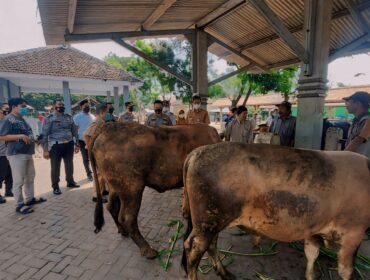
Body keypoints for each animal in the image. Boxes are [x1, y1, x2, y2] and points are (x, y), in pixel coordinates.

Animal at [91, 122, 221, 258]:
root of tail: (107, 129)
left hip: (115, 188)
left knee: (111, 207)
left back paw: (122, 231)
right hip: (132, 190)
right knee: (127, 218)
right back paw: (147, 250)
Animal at [182, 143, 370, 278]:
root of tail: (197, 152)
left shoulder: (314, 228)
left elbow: (312, 254)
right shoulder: (353, 233)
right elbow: (346, 270)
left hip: (213, 221)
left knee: (211, 245)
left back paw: (224, 272)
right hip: (207, 223)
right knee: (194, 250)